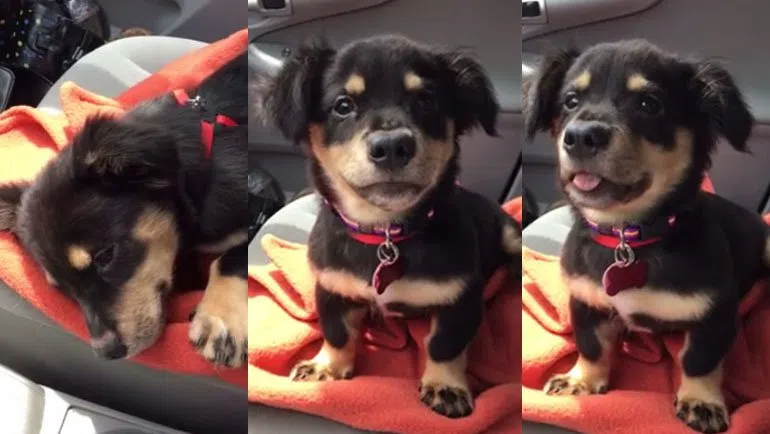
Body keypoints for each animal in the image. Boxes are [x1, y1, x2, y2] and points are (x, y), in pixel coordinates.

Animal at [260, 34, 521, 418]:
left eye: (426, 100)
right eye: (342, 105)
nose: (393, 146)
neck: (384, 232)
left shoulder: (462, 299)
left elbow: (444, 344)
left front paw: (445, 387)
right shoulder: (332, 289)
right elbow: (337, 332)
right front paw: (327, 367)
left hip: (508, 233)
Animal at [524, 39, 768, 433]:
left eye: (649, 104)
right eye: (571, 101)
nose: (579, 137)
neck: (628, 238)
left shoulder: (716, 314)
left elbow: (698, 360)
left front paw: (701, 401)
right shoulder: (585, 303)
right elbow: (591, 346)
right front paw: (582, 381)